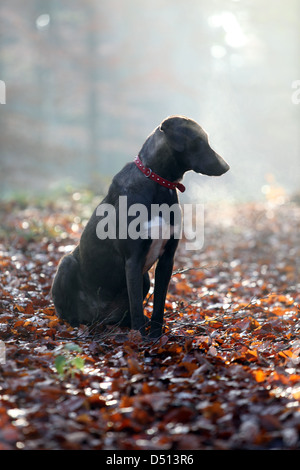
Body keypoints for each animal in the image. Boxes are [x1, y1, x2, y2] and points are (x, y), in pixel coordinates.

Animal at [51, 117, 230, 338]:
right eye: (198, 140)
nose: (226, 166)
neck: (160, 182)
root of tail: (99, 319)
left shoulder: (167, 259)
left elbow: (159, 303)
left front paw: (156, 335)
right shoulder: (133, 260)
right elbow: (136, 305)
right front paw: (140, 339)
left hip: (144, 278)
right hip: (67, 264)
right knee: (67, 313)